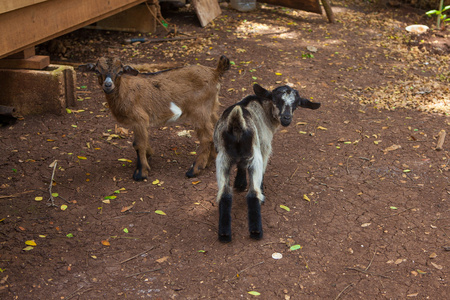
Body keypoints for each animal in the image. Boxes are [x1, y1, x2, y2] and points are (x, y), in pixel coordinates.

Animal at [78, 56, 230, 180]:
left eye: (120, 72)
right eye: (97, 71)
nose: (108, 85)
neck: (124, 91)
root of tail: (215, 72)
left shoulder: (139, 118)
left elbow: (138, 144)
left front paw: (141, 173)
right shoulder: (137, 123)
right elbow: (142, 141)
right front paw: (149, 154)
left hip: (199, 110)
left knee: (206, 137)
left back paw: (194, 170)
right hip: (211, 107)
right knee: (216, 128)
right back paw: (210, 160)